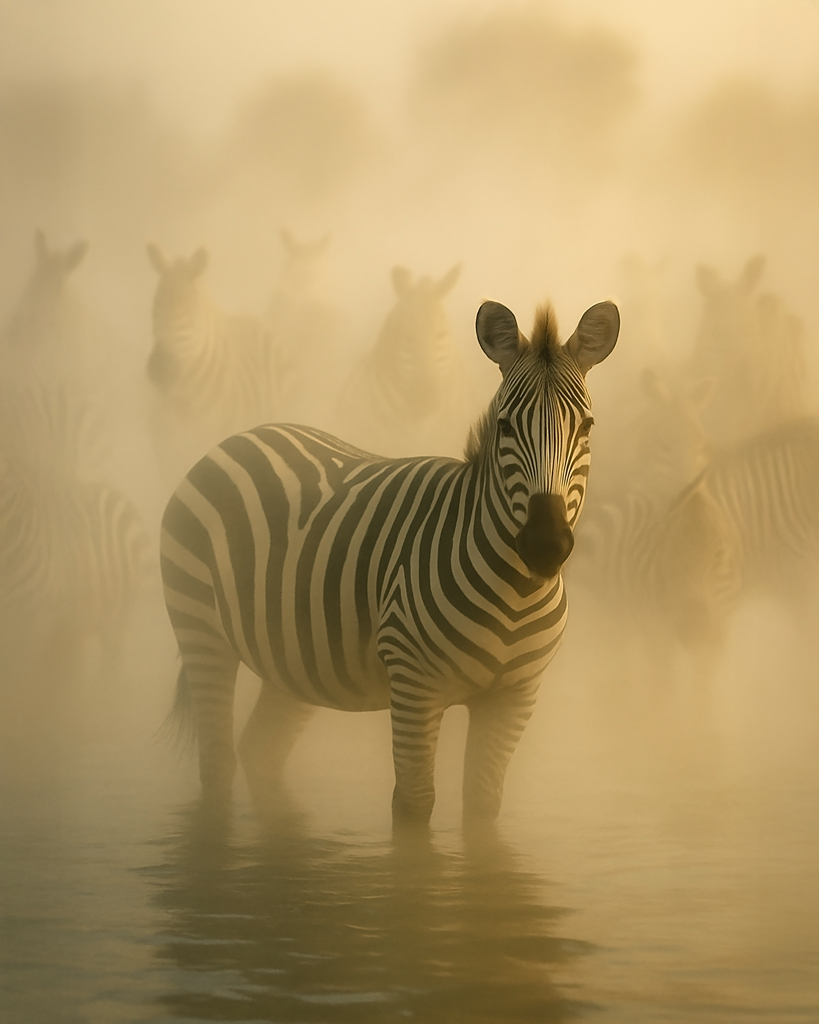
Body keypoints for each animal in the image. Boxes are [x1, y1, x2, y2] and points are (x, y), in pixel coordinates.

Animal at [160, 296, 619, 821]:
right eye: (504, 426)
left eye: (586, 427)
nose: (545, 545)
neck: (517, 595)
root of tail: (242, 436)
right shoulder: (414, 685)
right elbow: (414, 806)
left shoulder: (514, 696)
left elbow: (483, 806)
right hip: (201, 629)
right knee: (217, 759)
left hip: (294, 659)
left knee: (259, 750)